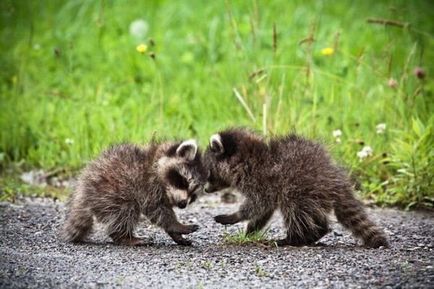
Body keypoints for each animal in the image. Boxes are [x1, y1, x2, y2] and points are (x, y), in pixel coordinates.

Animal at [61, 140, 209, 245]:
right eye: (183, 182)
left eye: (193, 195)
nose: (183, 204)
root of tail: (83, 189)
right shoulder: (147, 185)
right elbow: (158, 211)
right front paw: (177, 226)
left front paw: (175, 234)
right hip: (111, 191)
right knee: (125, 211)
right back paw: (124, 236)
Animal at [205, 128, 388, 248]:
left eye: (208, 173)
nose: (206, 190)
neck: (245, 158)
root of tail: (335, 180)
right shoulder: (265, 186)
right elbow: (264, 210)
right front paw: (251, 231)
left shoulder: (261, 182)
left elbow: (257, 205)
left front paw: (235, 216)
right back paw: (317, 231)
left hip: (299, 187)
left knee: (294, 211)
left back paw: (294, 238)